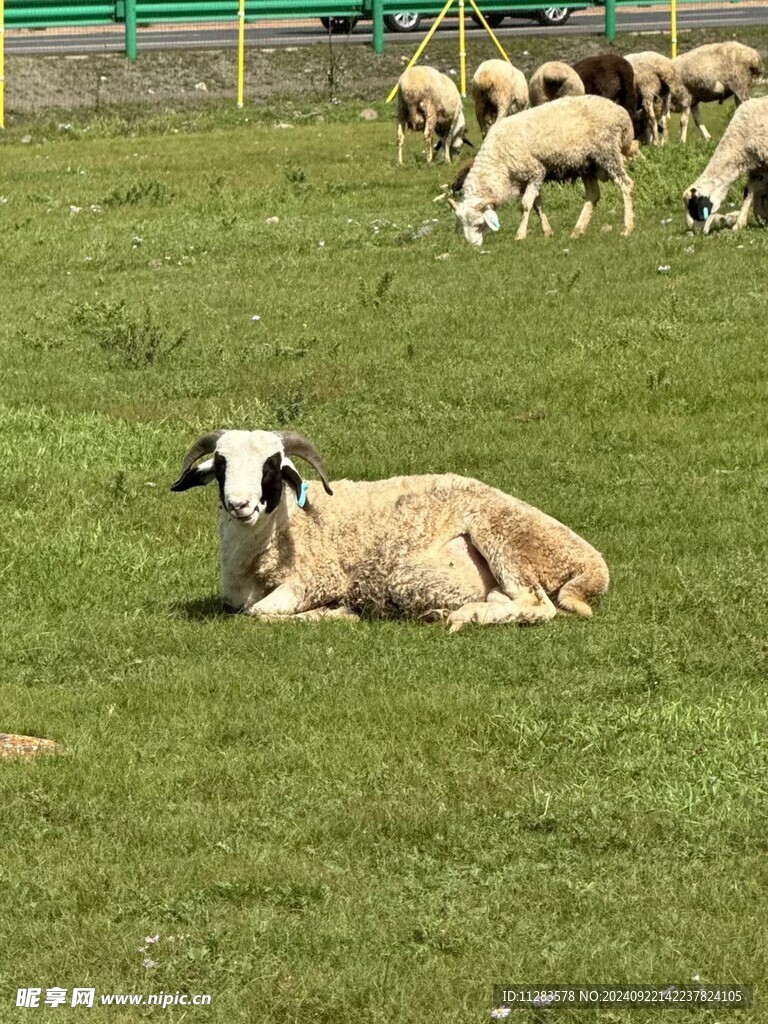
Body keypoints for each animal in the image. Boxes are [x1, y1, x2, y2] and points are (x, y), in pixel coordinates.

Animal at [171, 425, 610, 630]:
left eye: (271, 466)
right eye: (221, 465)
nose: (239, 505)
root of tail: (592, 565)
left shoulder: (319, 579)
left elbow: (258, 613)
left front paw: (336, 613)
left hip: (503, 537)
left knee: (539, 604)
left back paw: (462, 616)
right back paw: (447, 610)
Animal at [448, 92, 638, 243]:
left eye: (479, 224)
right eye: (461, 225)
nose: (473, 246)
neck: (498, 161)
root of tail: (622, 115)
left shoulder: (536, 171)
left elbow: (526, 204)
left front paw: (520, 235)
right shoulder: (528, 179)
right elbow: (537, 204)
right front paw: (547, 231)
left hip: (607, 154)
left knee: (626, 185)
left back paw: (627, 228)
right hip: (587, 164)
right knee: (593, 195)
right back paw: (577, 230)